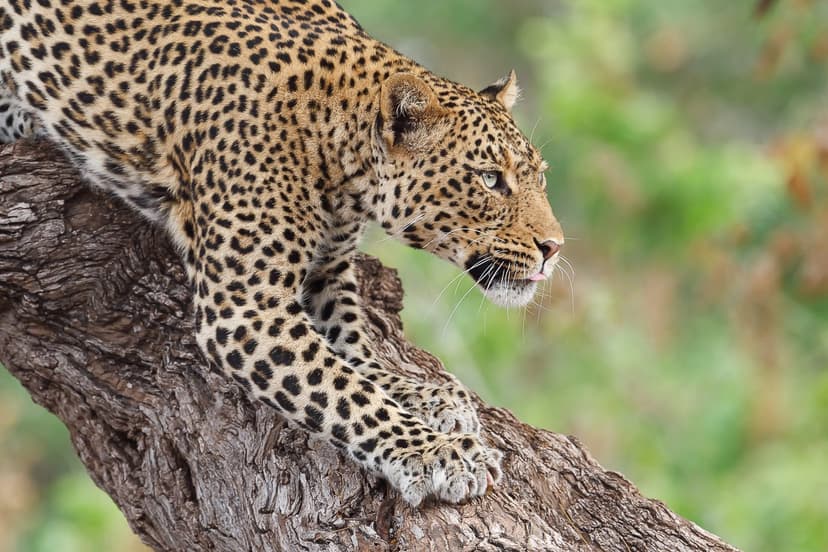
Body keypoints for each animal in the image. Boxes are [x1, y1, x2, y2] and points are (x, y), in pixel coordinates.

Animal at [0, 0, 564, 507]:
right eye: (490, 179)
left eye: (540, 176)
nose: (554, 248)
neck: (343, 157)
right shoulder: (246, 306)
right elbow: (346, 392)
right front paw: (439, 453)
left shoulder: (327, 277)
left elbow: (359, 357)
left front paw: (428, 396)